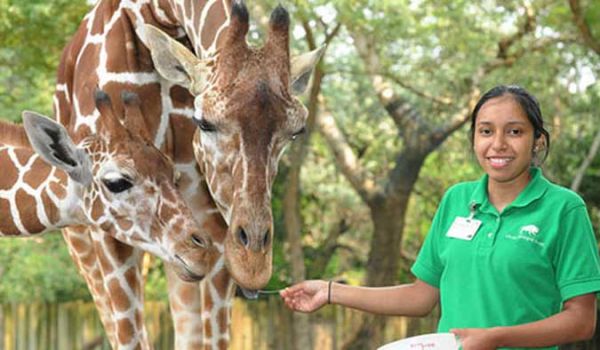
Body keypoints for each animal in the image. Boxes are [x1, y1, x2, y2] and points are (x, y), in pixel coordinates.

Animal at [53, 0, 322, 348]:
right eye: (204, 122)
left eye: (297, 130)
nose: (253, 265)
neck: (163, 14)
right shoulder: (109, 228)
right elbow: (129, 336)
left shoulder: (212, 225)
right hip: (82, 246)